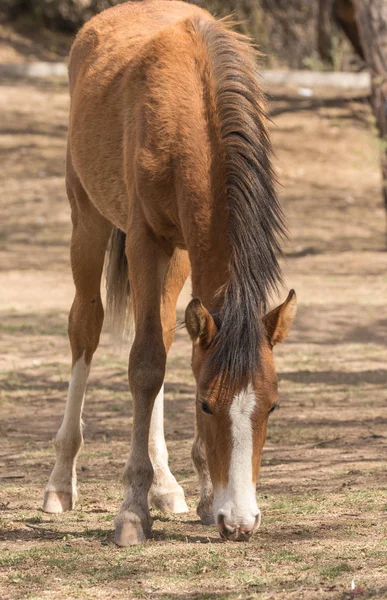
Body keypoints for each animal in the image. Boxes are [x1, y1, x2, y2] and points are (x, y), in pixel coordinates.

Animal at [42, 0, 298, 548]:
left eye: (271, 407)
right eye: (204, 406)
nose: (240, 523)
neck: (190, 108)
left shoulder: (183, 250)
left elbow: (167, 353)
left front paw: (199, 495)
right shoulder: (145, 240)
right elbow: (144, 365)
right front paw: (132, 511)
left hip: (176, 258)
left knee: (159, 330)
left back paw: (167, 486)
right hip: (87, 221)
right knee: (86, 328)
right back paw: (60, 484)